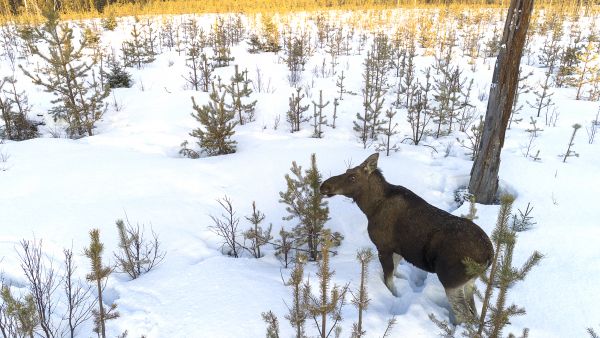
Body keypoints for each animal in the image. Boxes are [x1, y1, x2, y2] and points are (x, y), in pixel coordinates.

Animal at [318, 152, 492, 322]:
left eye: (352, 177)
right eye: (347, 171)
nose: (323, 186)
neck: (370, 208)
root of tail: (489, 256)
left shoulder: (384, 247)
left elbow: (389, 281)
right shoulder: (398, 250)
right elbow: (394, 272)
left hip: (450, 280)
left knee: (464, 315)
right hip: (469, 282)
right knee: (474, 313)